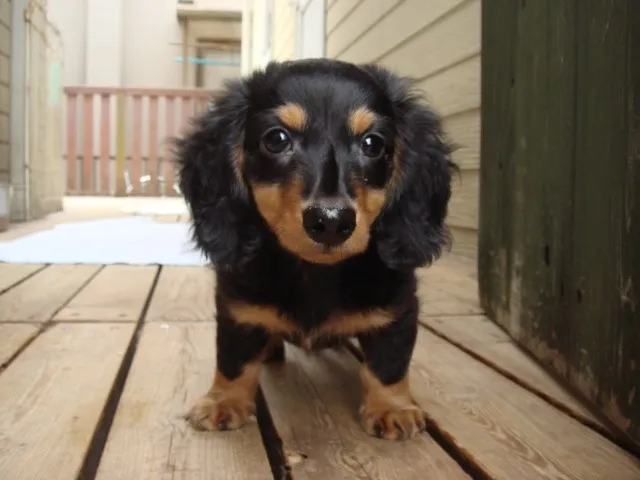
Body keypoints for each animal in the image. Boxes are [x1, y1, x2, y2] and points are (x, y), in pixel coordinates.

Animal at [175, 60, 456, 442]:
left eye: (373, 144)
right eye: (276, 139)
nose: (332, 221)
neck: (316, 272)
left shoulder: (397, 309)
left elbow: (388, 362)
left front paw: (392, 408)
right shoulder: (237, 306)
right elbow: (234, 359)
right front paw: (223, 401)